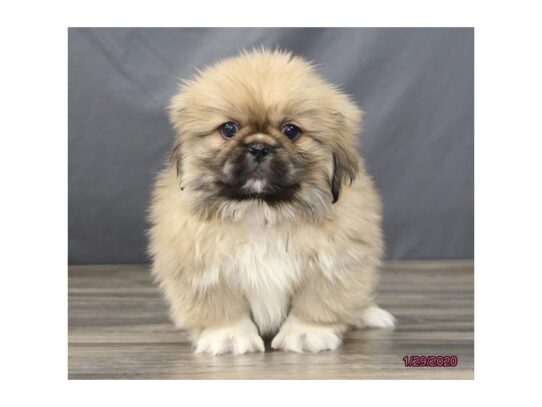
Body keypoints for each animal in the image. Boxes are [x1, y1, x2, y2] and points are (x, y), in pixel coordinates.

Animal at [149, 49, 396, 356]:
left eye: (290, 130)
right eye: (228, 128)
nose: (259, 147)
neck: (261, 209)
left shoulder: (335, 264)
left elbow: (316, 302)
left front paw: (307, 333)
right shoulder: (202, 269)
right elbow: (222, 307)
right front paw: (228, 336)